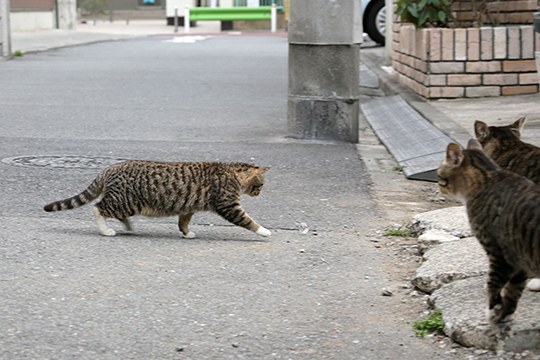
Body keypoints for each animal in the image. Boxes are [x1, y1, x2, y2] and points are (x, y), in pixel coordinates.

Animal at [42, 160, 272, 239]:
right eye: (260, 185)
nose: (260, 193)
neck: (232, 172)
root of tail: (111, 167)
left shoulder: (188, 207)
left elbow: (183, 222)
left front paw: (186, 233)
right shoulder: (228, 205)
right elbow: (248, 220)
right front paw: (264, 231)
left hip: (126, 204)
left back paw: (128, 226)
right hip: (125, 201)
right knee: (98, 208)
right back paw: (106, 230)